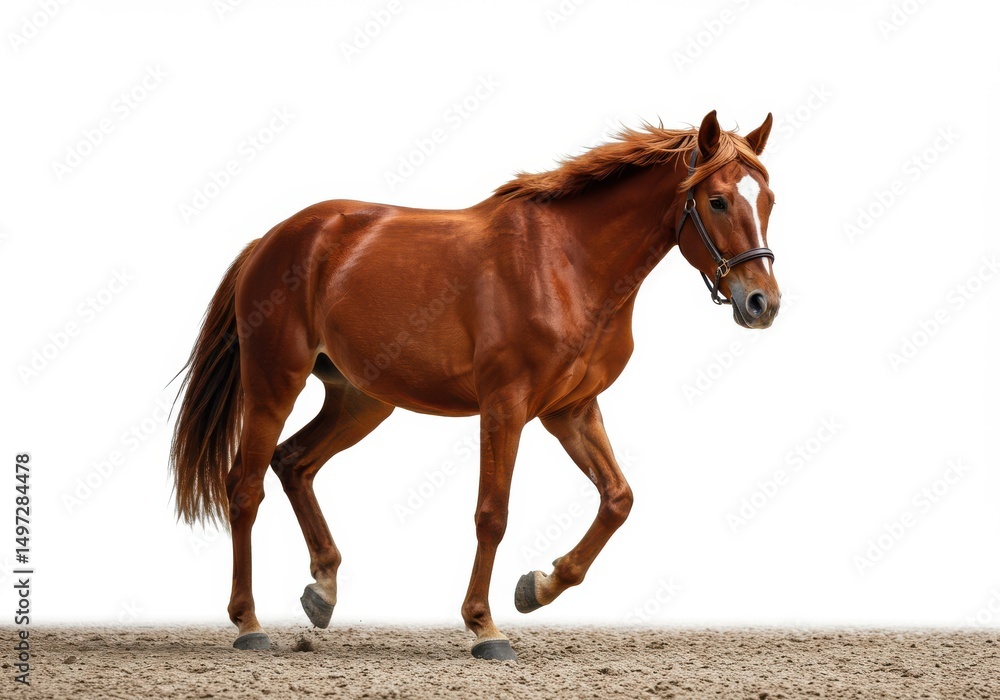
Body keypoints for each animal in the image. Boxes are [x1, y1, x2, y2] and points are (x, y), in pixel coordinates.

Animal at [170, 109, 780, 661]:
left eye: (768, 199)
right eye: (718, 200)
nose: (762, 303)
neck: (567, 263)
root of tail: (272, 240)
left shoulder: (572, 410)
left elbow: (618, 499)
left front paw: (538, 587)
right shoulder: (505, 406)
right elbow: (493, 513)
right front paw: (485, 627)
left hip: (360, 400)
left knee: (294, 462)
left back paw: (323, 590)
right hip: (275, 383)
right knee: (245, 488)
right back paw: (249, 624)